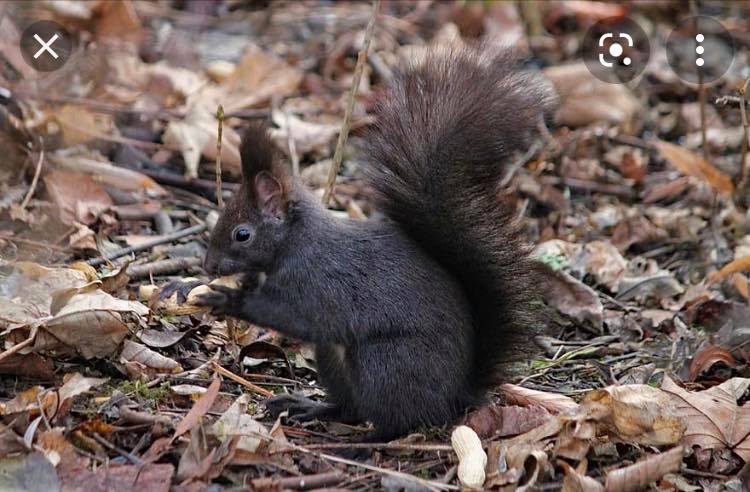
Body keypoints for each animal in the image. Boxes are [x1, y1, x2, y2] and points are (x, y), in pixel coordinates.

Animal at [194, 46, 560, 440]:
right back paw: (312, 407)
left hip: (384, 364)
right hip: (334, 359)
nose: (208, 266)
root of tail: (455, 395)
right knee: (350, 406)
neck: (296, 242)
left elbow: (293, 315)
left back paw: (367, 440)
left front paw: (229, 299)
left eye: (242, 234)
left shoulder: (316, 283)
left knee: (397, 420)